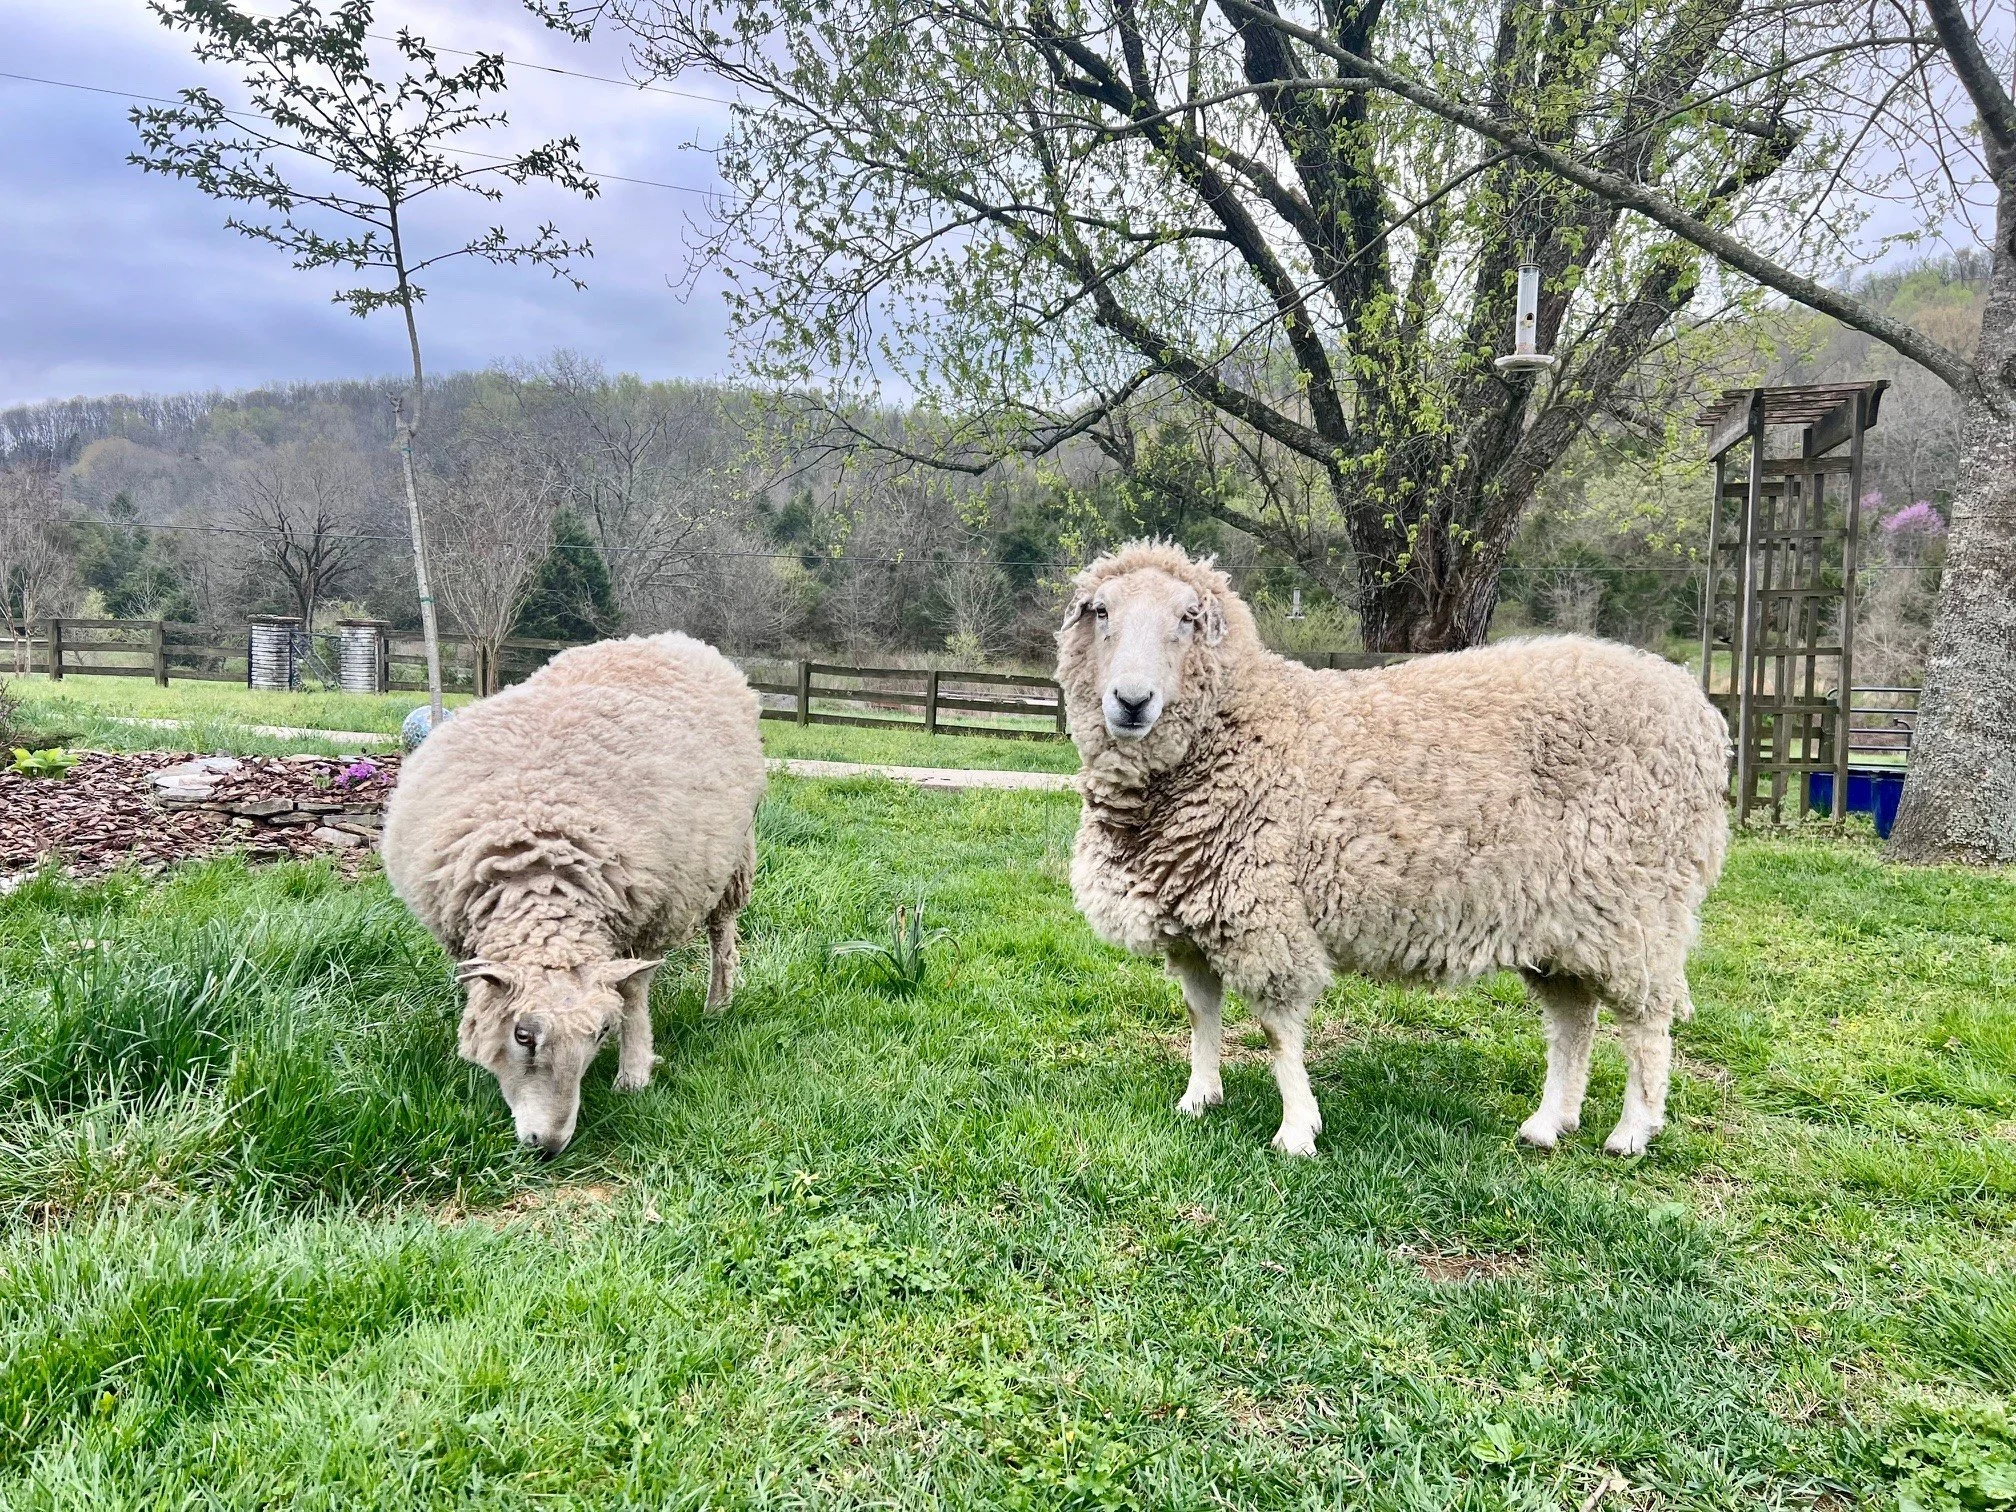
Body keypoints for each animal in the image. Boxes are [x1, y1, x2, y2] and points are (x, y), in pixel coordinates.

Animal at [382, 632, 765, 1155]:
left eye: (602, 1032)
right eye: (523, 1036)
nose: (548, 1145)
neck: (542, 879)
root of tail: (670, 639)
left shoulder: (650, 917)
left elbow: (634, 997)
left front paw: (634, 1073)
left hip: (731, 858)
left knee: (722, 935)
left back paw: (717, 1005)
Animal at [1056, 541, 1729, 1158]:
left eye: (1187, 617)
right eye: (1102, 611)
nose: (1132, 701)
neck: (1238, 728)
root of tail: (1697, 708)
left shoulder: (1264, 916)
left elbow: (1277, 1033)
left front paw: (1296, 1131)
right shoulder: (1195, 917)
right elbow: (1202, 1014)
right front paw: (1199, 1098)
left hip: (1640, 906)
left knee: (1647, 1021)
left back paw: (1633, 1130)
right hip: (1561, 920)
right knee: (1574, 1023)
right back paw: (1549, 1124)